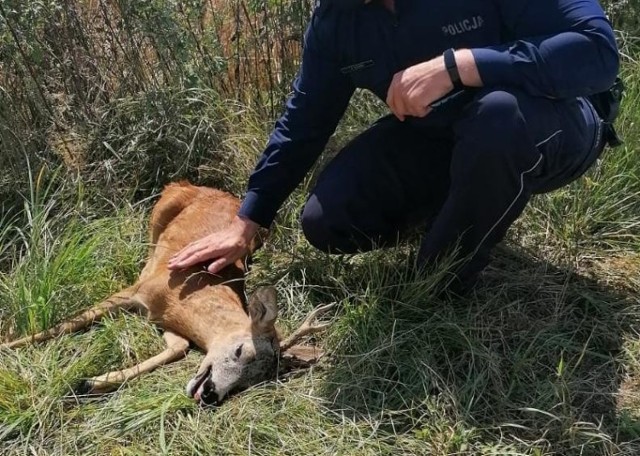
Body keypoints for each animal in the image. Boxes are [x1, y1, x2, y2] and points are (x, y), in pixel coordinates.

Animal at [2, 182, 336, 406]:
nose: (212, 394)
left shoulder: (163, 320)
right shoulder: (135, 291)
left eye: (251, 381)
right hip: (164, 205)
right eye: (241, 350)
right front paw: (8, 345)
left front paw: (87, 383)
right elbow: (66, 324)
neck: (183, 299)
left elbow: (179, 348)